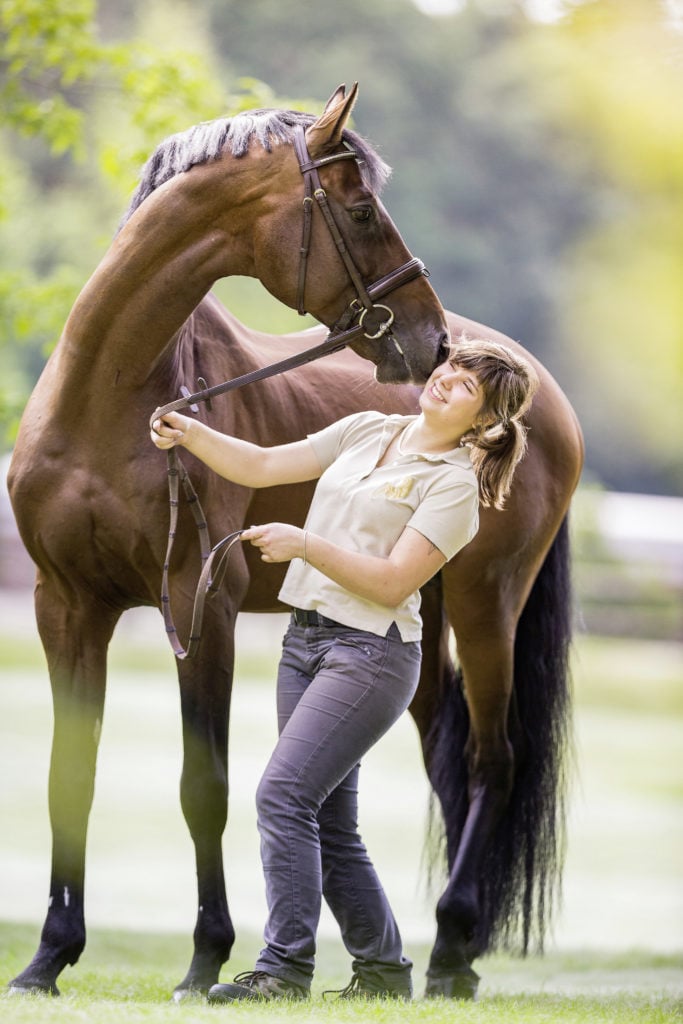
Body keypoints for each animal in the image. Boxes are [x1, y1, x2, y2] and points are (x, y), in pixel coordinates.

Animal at [5, 86, 585, 999]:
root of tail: (539, 393)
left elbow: (203, 785)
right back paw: (450, 950)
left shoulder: (198, 603)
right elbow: (72, 777)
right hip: (420, 617)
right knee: (446, 751)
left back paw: (451, 954)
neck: (108, 399)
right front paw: (48, 958)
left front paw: (205, 959)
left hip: (488, 602)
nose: (432, 343)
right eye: (360, 209)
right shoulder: (65, 606)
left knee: (493, 758)